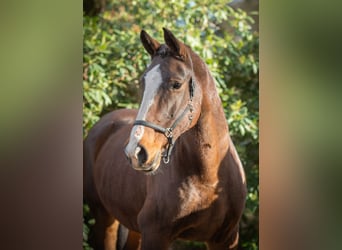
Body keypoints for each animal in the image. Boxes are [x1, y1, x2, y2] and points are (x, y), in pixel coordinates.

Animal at [84, 28, 247, 249]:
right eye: (143, 82)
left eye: (176, 84)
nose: (135, 152)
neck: (208, 177)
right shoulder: (156, 235)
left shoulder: (225, 239)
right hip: (104, 218)